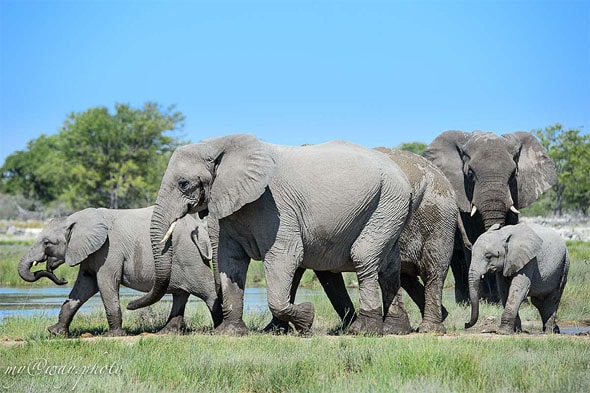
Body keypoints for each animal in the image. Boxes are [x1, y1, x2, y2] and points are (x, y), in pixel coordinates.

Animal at [18, 205, 223, 336]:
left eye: (47, 243)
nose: (60, 278)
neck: (75, 219)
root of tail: (199, 229)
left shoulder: (109, 250)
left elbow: (105, 283)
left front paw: (114, 335)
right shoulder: (92, 253)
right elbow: (84, 286)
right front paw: (55, 333)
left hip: (190, 257)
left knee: (207, 291)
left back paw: (219, 329)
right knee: (180, 294)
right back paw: (167, 332)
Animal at [127, 134, 414, 334]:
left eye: (184, 184)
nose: (129, 306)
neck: (219, 144)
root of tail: (400, 172)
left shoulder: (275, 206)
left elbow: (284, 256)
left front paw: (307, 318)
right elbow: (231, 260)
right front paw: (230, 333)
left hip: (388, 199)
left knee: (363, 256)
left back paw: (364, 331)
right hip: (388, 206)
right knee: (389, 265)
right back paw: (395, 330)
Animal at [266, 149, 464, 332]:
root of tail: (444, 179)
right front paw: (275, 330)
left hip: (437, 218)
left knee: (432, 271)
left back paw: (428, 328)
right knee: (402, 274)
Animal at [424, 130, 556, 302]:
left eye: (513, 175)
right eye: (470, 173)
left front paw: (499, 298)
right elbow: (472, 238)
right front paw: (485, 298)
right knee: (457, 260)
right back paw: (463, 301)